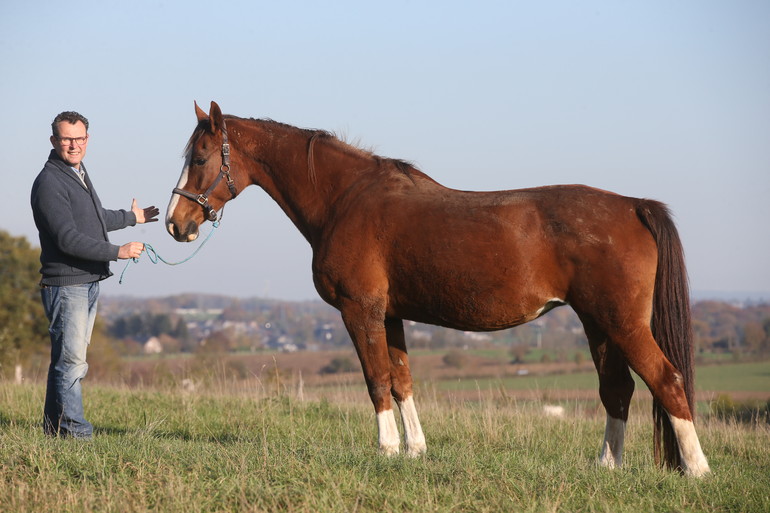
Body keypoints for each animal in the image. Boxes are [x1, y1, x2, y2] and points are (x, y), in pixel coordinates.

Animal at [166, 101, 708, 476]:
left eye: (201, 157)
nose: (175, 223)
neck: (346, 199)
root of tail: (633, 205)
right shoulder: (389, 314)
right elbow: (401, 379)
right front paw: (414, 450)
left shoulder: (360, 311)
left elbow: (376, 379)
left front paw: (386, 450)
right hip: (598, 323)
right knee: (617, 389)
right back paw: (606, 466)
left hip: (623, 324)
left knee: (667, 380)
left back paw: (697, 469)